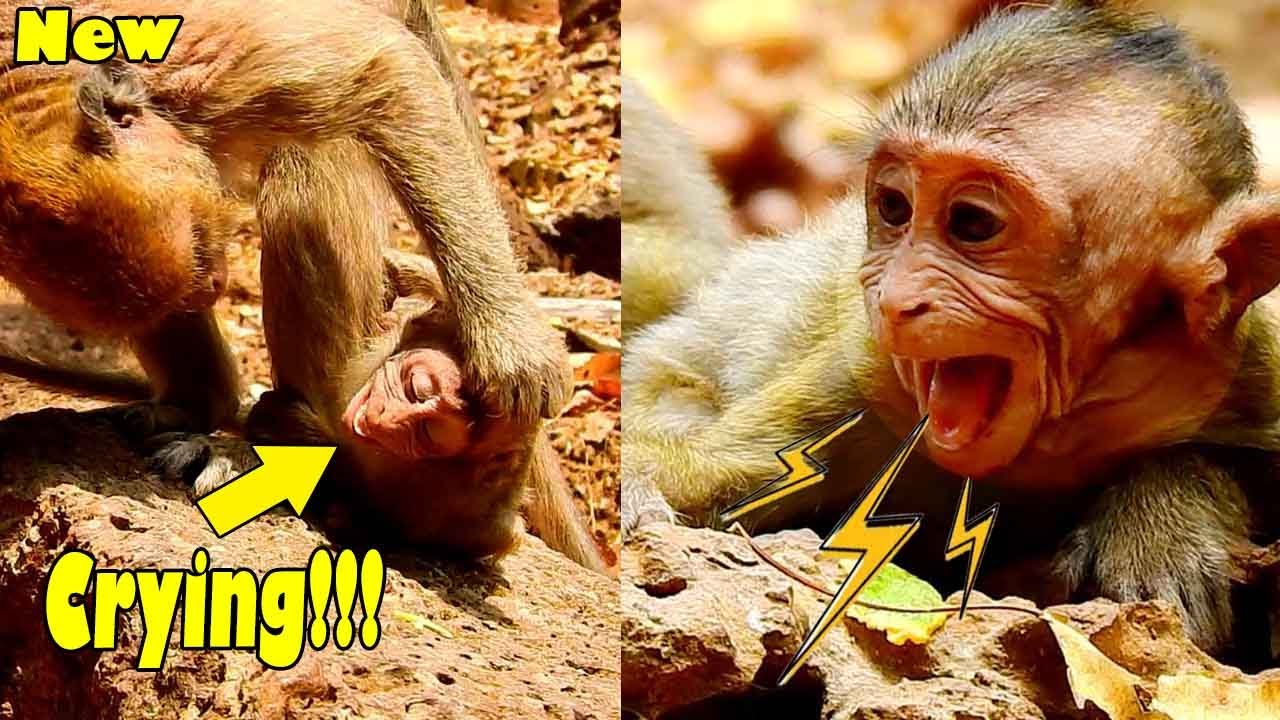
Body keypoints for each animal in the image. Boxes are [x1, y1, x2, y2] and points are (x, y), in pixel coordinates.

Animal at [0, 0, 570, 441]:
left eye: (205, 242)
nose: (212, 287)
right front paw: (193, 403)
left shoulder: (199, 63)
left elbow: (388, 70)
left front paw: (511, 347)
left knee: (305, 166)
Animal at [621, 1, 1280, 652]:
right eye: (894, 208)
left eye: (972, 222)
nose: (894, 299)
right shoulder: (861, 382)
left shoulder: (1250, 362)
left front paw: (1162, 516)